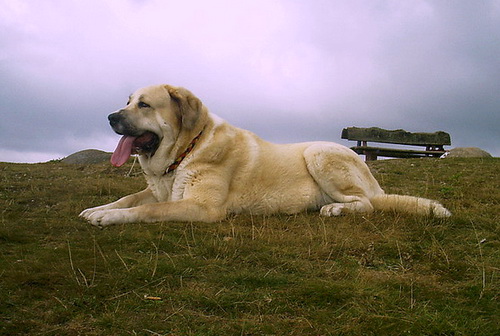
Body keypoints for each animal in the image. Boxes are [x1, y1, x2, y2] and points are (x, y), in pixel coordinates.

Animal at [80, 83, 452, 227]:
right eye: (128, 101)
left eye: (143, 105)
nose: (110, 117)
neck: (186, 150)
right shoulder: (156, 189)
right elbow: (132, 197)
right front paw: (97, 208)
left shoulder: (203, 207)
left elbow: (150, 210)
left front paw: (108, 217)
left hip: (320, 152)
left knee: (368, 204)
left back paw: (336, 209)